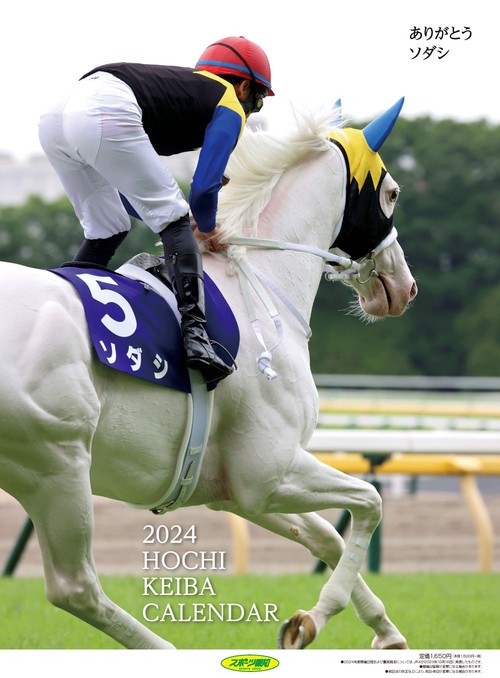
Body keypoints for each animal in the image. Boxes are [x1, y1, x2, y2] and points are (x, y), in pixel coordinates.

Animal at [0, 99, 416, 650]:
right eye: (391, 193)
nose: (404, 286)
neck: (255, 281)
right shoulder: (268, 470)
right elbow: (370, 500)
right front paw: (314, 618)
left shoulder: (233, 488)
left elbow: (324, 534)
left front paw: (385, 634)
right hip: (56, 465)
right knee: (76, 587)